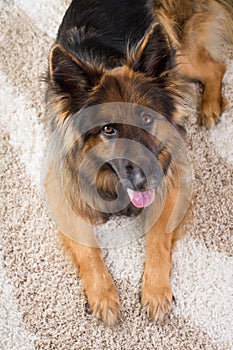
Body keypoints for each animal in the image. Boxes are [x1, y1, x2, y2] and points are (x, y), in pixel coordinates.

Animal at [44, 0, 233, 326]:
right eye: (108, 130)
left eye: (147, 119)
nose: (147, 181)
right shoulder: (62, 191)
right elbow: (89, 248)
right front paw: (104, 295)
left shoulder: (172, 182)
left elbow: (157, 238)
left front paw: (156, 291)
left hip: (180, 57)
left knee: (215, 66)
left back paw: (209, 106)